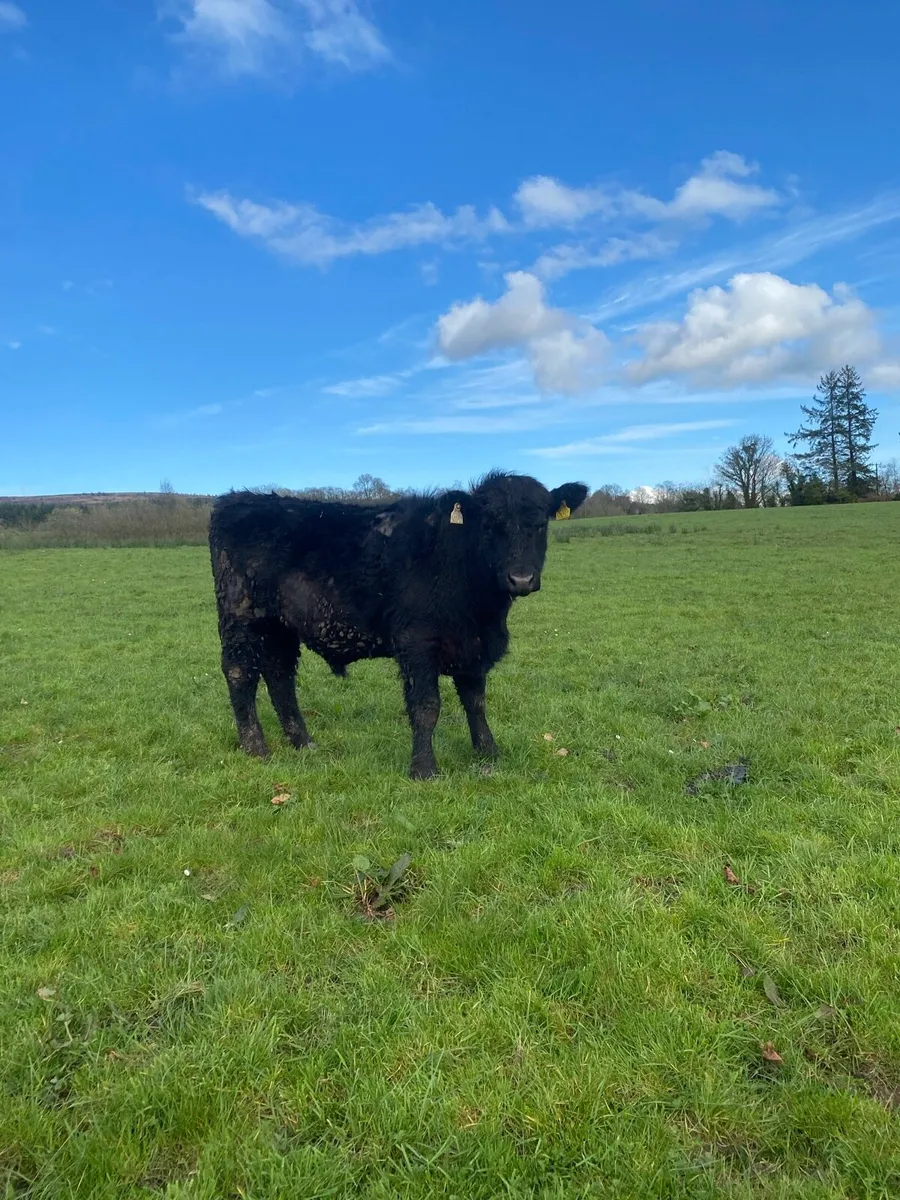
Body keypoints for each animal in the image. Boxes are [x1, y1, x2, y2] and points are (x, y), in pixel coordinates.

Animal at [208, 471, 588, 779]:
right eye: (489, 525)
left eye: (540, 524)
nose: (520, 578)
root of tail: (237, 500)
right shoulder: (416, 642)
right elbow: (426, 707)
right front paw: (424, 769)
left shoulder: (473, 646)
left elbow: (476, 701)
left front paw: (487, 751)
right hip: (241, 616)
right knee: (240, 673)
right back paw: (256, 748)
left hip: (279, 625)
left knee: (280, 676)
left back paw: (303, 742)